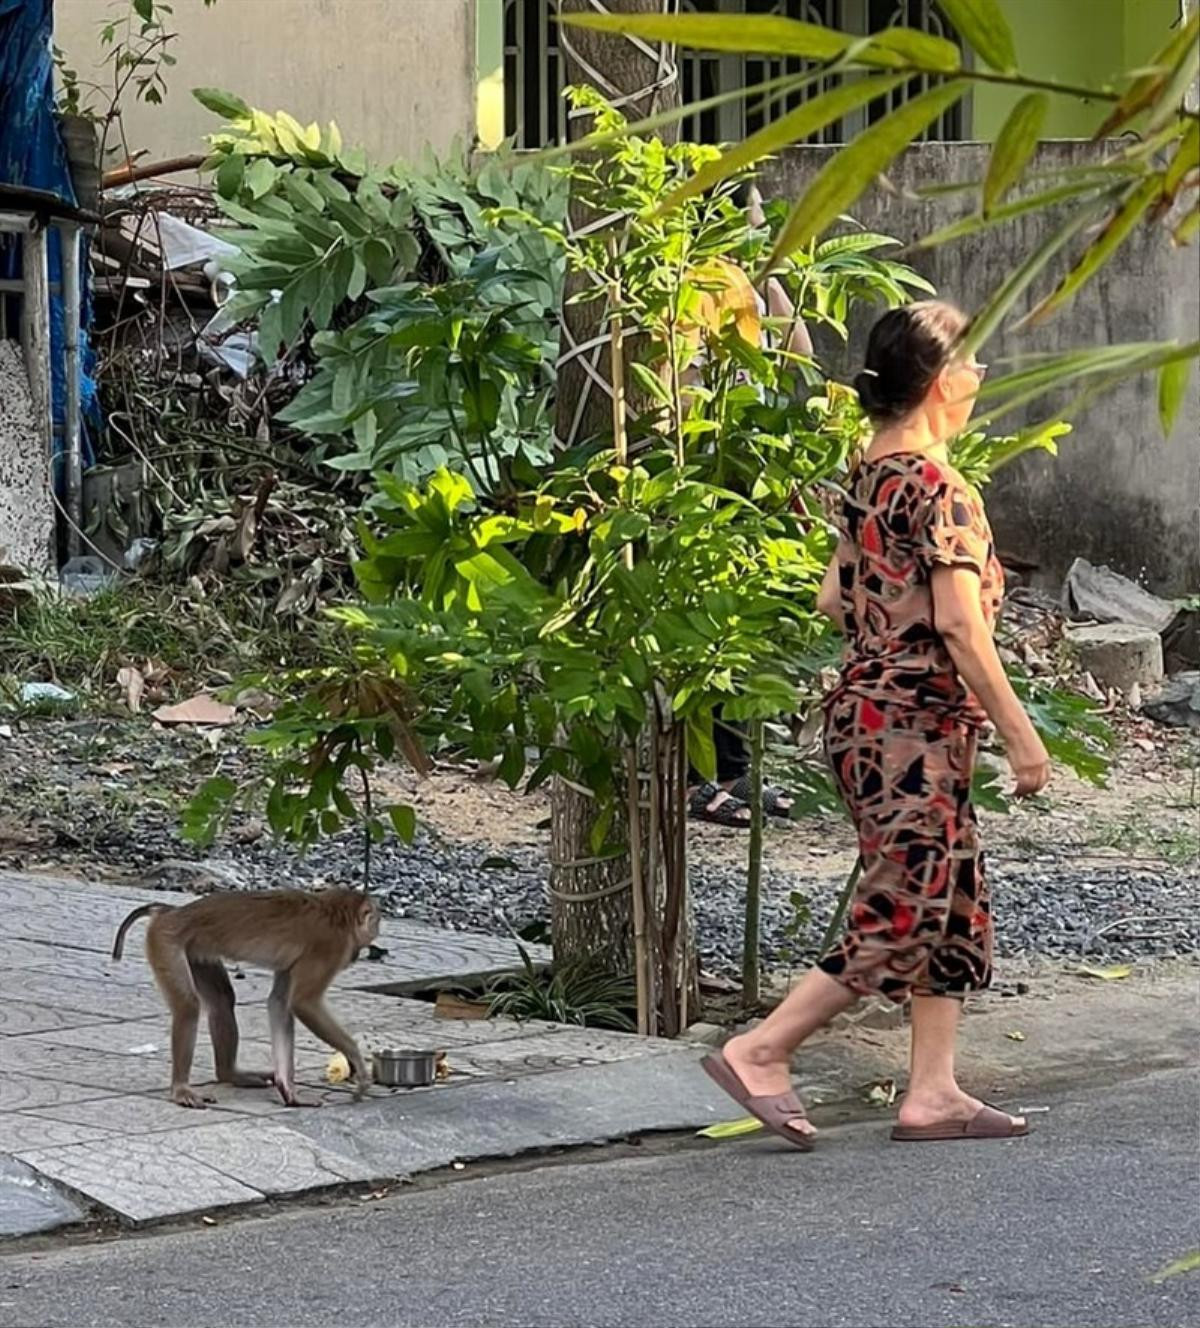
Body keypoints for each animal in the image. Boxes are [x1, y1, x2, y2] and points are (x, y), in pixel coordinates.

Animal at [112, 892, 376, 1110]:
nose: (356, 956)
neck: (334, 912)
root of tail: (169, 911)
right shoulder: (329, 947)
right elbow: (304, 1003)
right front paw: (359, 1063)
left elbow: (279, 1003)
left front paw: (288, 1089)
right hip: (166, 941)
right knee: (188, 1007)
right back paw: (181, 1088)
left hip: (196, 951)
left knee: (221, 1000)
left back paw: (230, 1074)